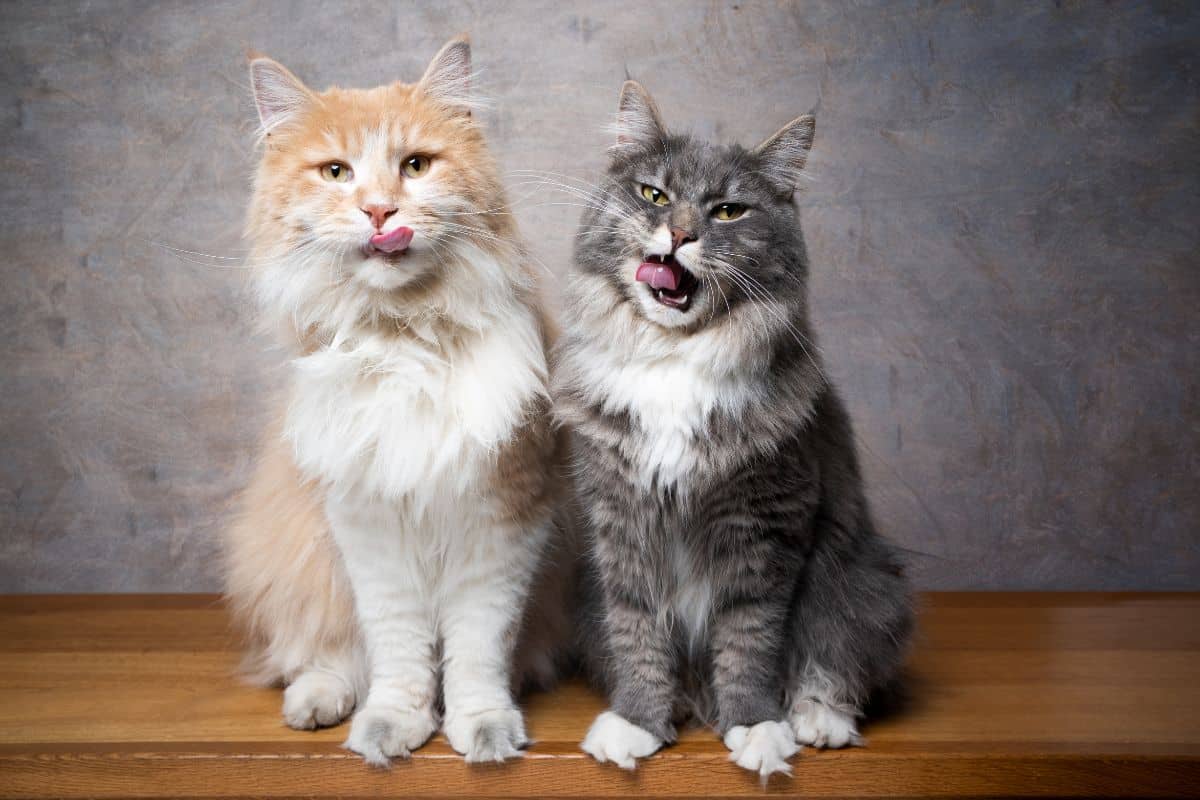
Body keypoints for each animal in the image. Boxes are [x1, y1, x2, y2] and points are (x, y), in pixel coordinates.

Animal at [222, 38, 571, 767]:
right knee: (325, 654)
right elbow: (398, 652)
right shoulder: (367, 525)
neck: (405, 338)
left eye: (415, 166)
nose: (380, 212)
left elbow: (476, 649)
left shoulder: (502, 520)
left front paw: (483, 727)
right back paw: (316, 703)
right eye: (336, 172)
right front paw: (391, 726)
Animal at [552, 82, 907, 782]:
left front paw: (757, 729)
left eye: (728, 211)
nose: (679, 233)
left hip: (860, 582)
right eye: (654, 195)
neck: (674, 361)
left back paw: (818, 721)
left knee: (834, 662)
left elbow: (749, 642)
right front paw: (637, 723)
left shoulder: (765, 528)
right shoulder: (622, 523)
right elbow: (638, 633)